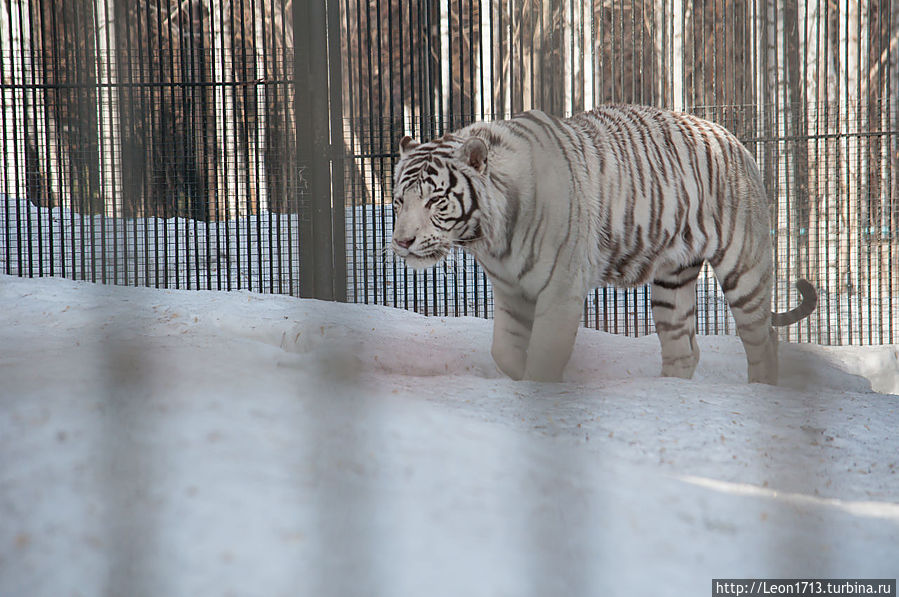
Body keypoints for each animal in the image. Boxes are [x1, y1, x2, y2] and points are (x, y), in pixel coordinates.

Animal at [390, 105, 820, 384]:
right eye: (398, 202)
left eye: (435, 201)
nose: (401, 241)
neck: (489, 237)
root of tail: (735, 140)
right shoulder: (511, 291)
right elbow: (504, 352)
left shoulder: (560, 290)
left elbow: (544, 355)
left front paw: (537, 388)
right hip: (672, 281)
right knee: (684, 347)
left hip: (744, 269)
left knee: (763, 339)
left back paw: (761, 392)